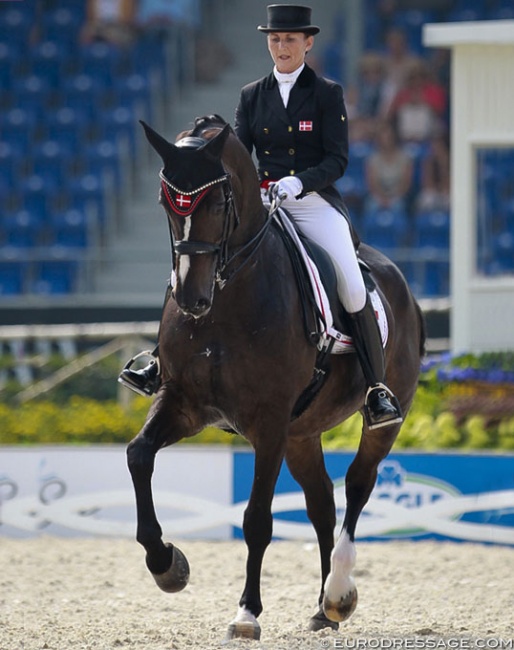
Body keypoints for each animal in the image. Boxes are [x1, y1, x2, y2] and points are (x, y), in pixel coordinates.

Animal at [126, 114, 422, 640]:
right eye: (166, 202)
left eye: (217, 202)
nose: (191, 299)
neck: (225, 301)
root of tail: (397, 278)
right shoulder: (184, 403)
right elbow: (138, 456)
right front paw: (167, 565)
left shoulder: (267, 423)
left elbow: (257, 518)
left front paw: (246, 613)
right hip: (302, 432)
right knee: (322, 500)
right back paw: (322, 611)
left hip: (383, 417)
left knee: (358, 484)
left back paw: (339, 594)